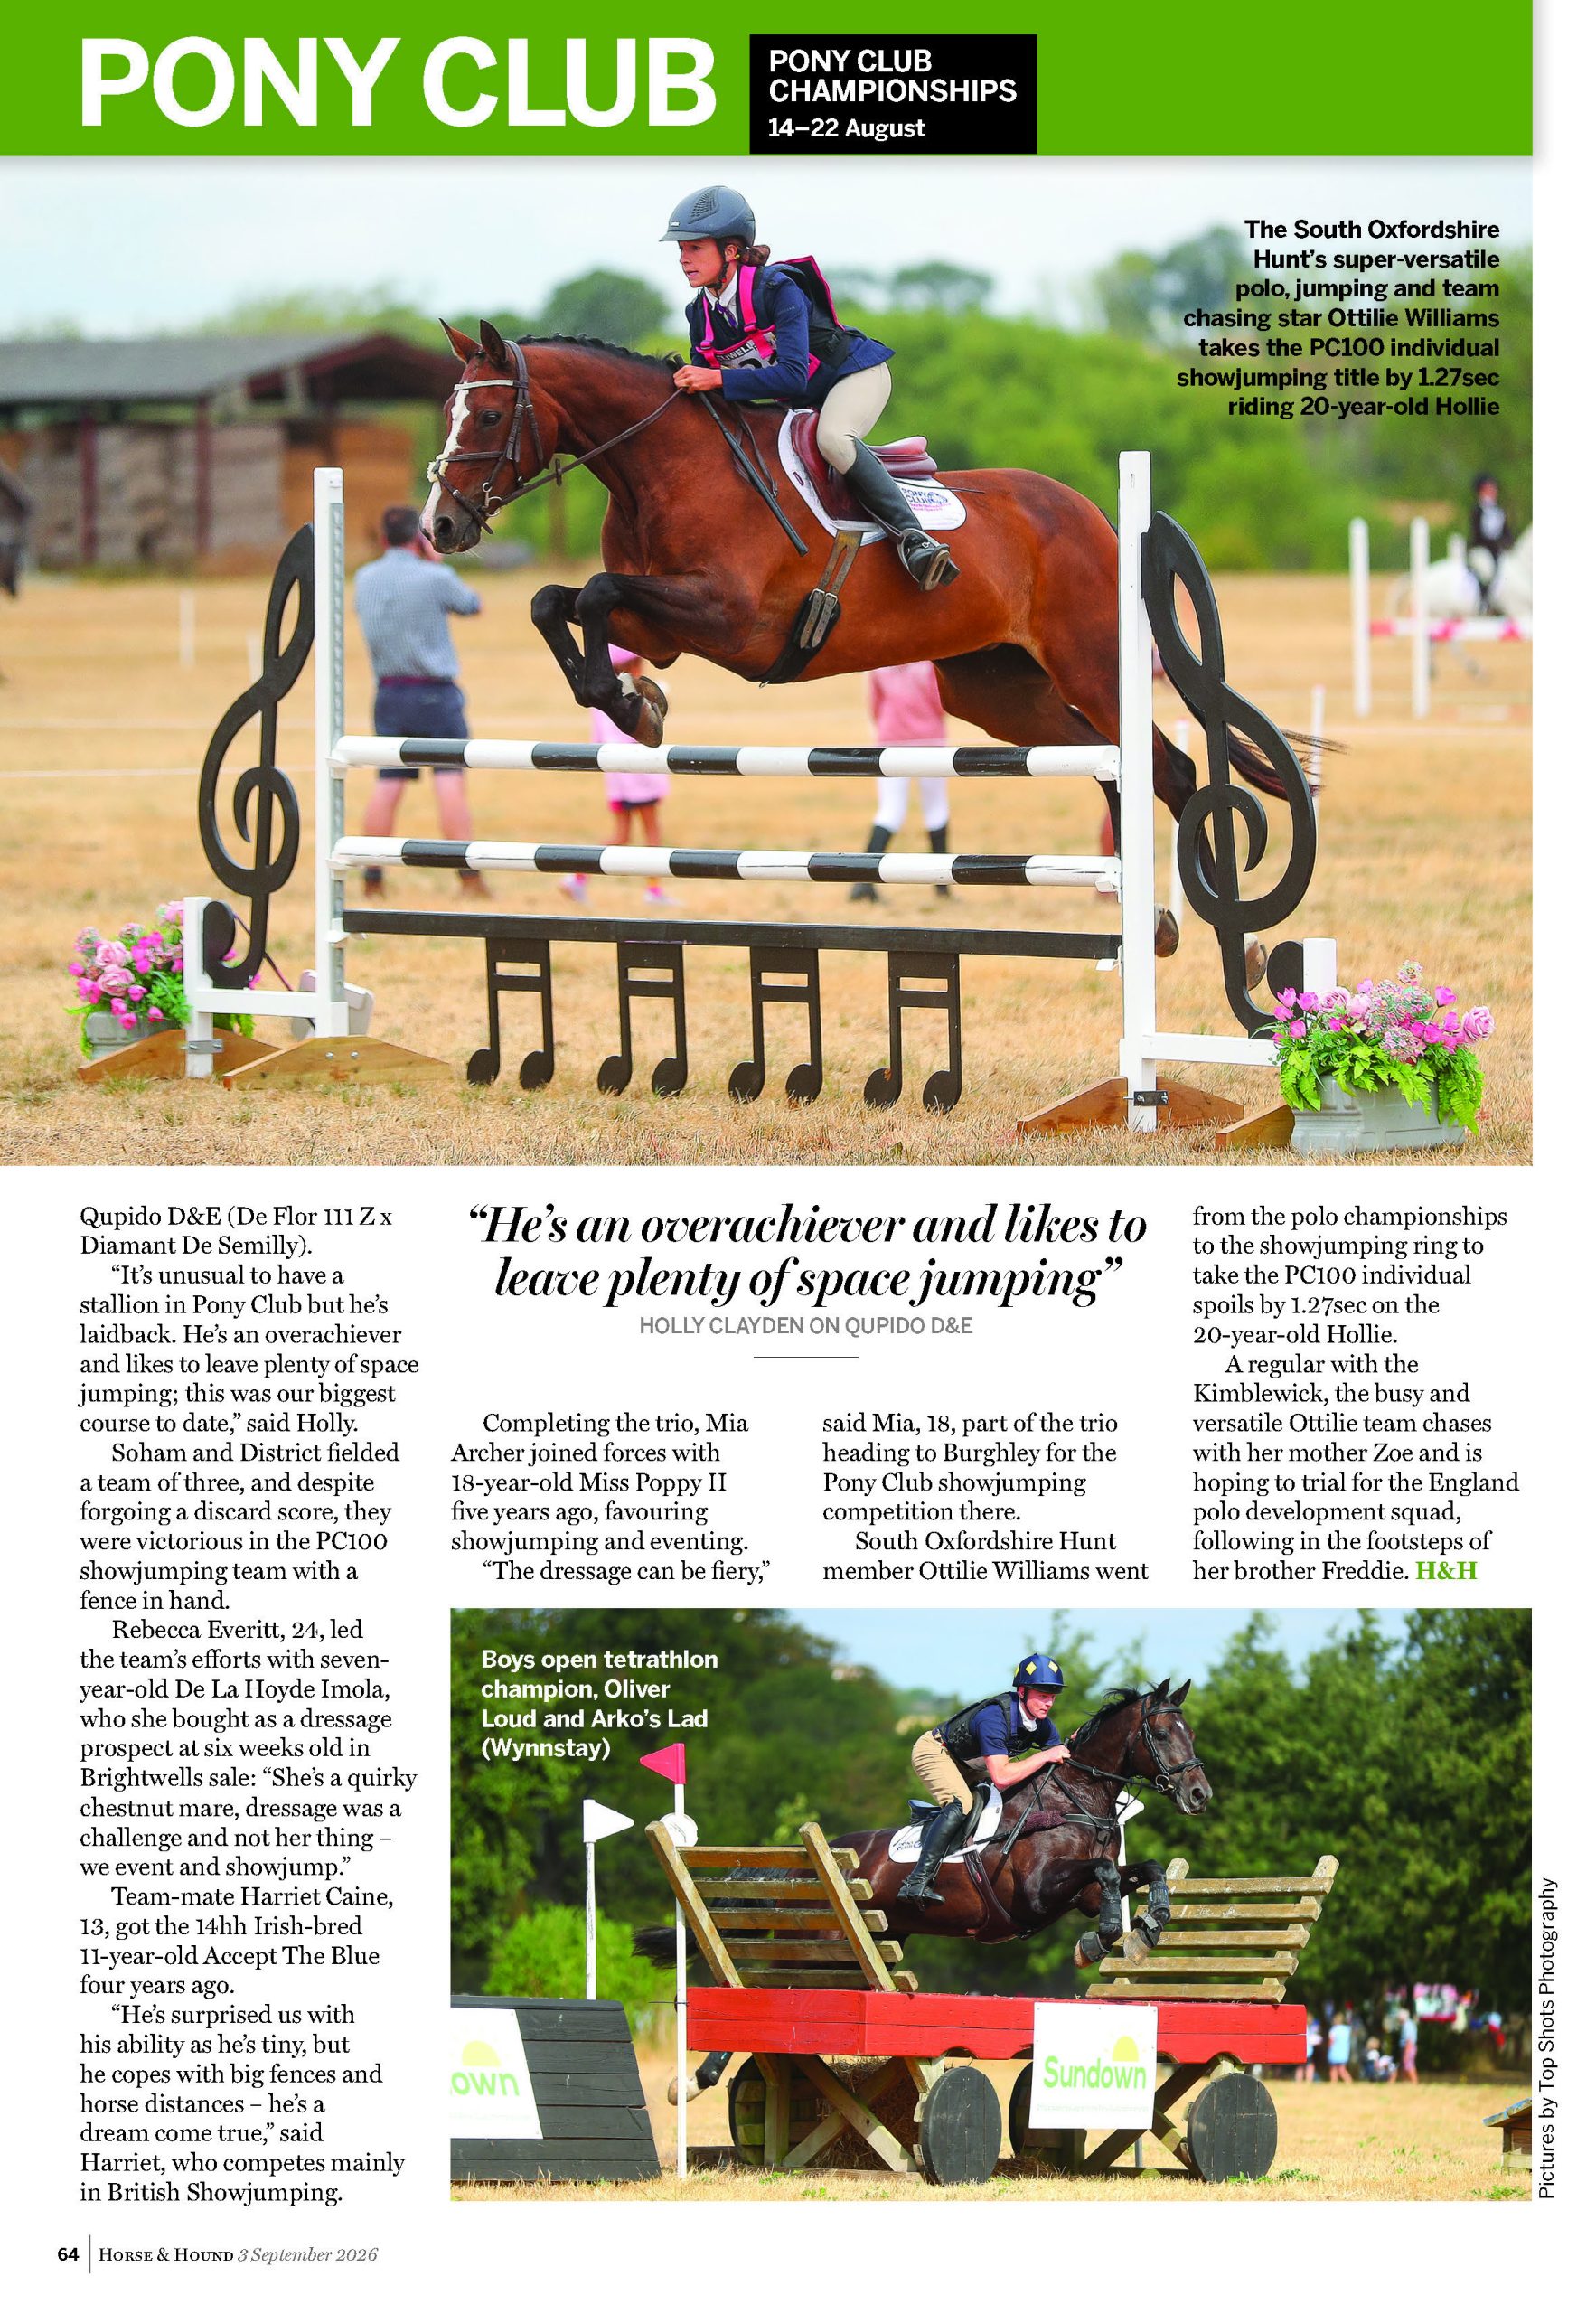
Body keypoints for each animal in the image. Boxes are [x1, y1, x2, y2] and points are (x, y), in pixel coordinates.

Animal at [420, 323, 1295, 906]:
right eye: (449, 412)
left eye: (489, 418)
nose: (441, 526)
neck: (663, 469)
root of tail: (1092, 515)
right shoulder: (662, 630)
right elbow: (558, 601)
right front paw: (634, 700)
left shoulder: (728, 618)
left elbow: (598, 593)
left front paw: (632, 706)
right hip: (1000, 691)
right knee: (1105, 763)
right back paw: (1150, 919)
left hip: (1092, 663)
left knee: (1167, 769)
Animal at [638, 1678, 1211, 2104]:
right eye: (1162, 1733)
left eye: (1192, 1732)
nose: (1199, 1794)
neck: (1076, 1796)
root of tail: (812, 1863)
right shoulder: (1038, 1891)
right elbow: (1108, 1874)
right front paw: (1101, 1940)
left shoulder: (1080, 1894)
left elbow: (1143, 1870)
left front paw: (1145, 1928)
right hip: (821, 1947)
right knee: (762, 1996)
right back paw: (692, 2083)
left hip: (857, 1954)